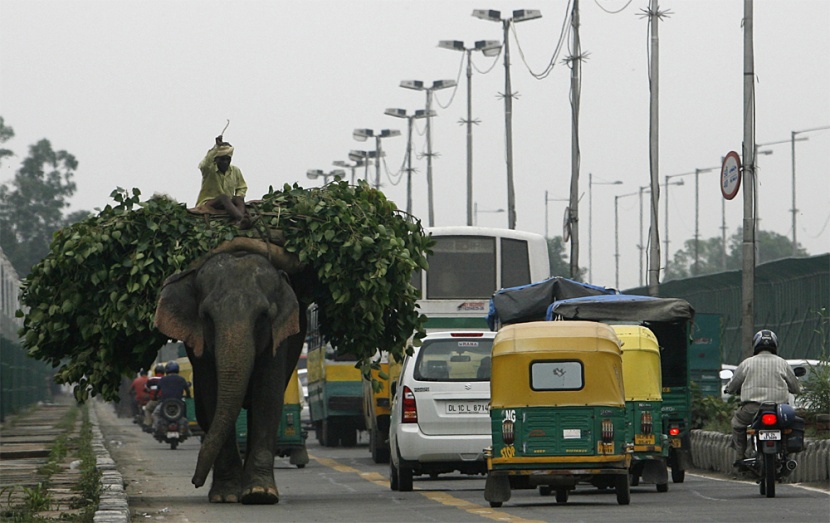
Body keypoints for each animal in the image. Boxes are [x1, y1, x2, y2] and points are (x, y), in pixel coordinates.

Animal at [154, 239, 308, 506]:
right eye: (206, 317)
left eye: (263, 316)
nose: (195, 481)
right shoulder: (200, 348)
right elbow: (212, 393)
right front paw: (225, 495)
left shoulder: (280, 340)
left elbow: (268, 396)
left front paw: (260, 494)